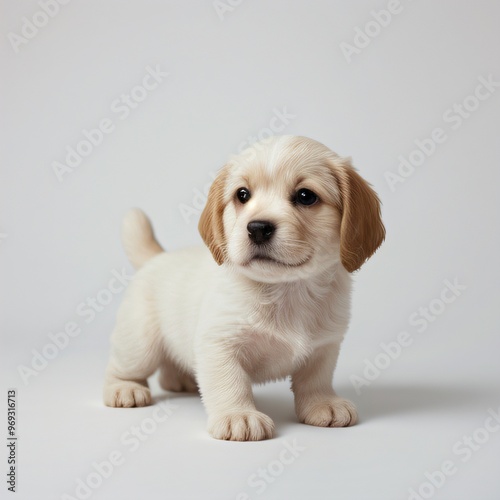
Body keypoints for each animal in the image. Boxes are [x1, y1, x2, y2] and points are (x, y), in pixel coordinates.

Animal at [103, 134, 386, 442]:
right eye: (242, 195)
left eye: (305, 196)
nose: (258, 227)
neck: (284, 290)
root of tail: (156, 258)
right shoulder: (219, 344)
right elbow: (231, 382)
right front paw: (238, 415)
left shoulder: (325, 346)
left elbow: (316, 380)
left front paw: (323, 403)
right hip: (139, 345)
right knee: (119, 367)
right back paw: (124, 388)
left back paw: (180, 379)